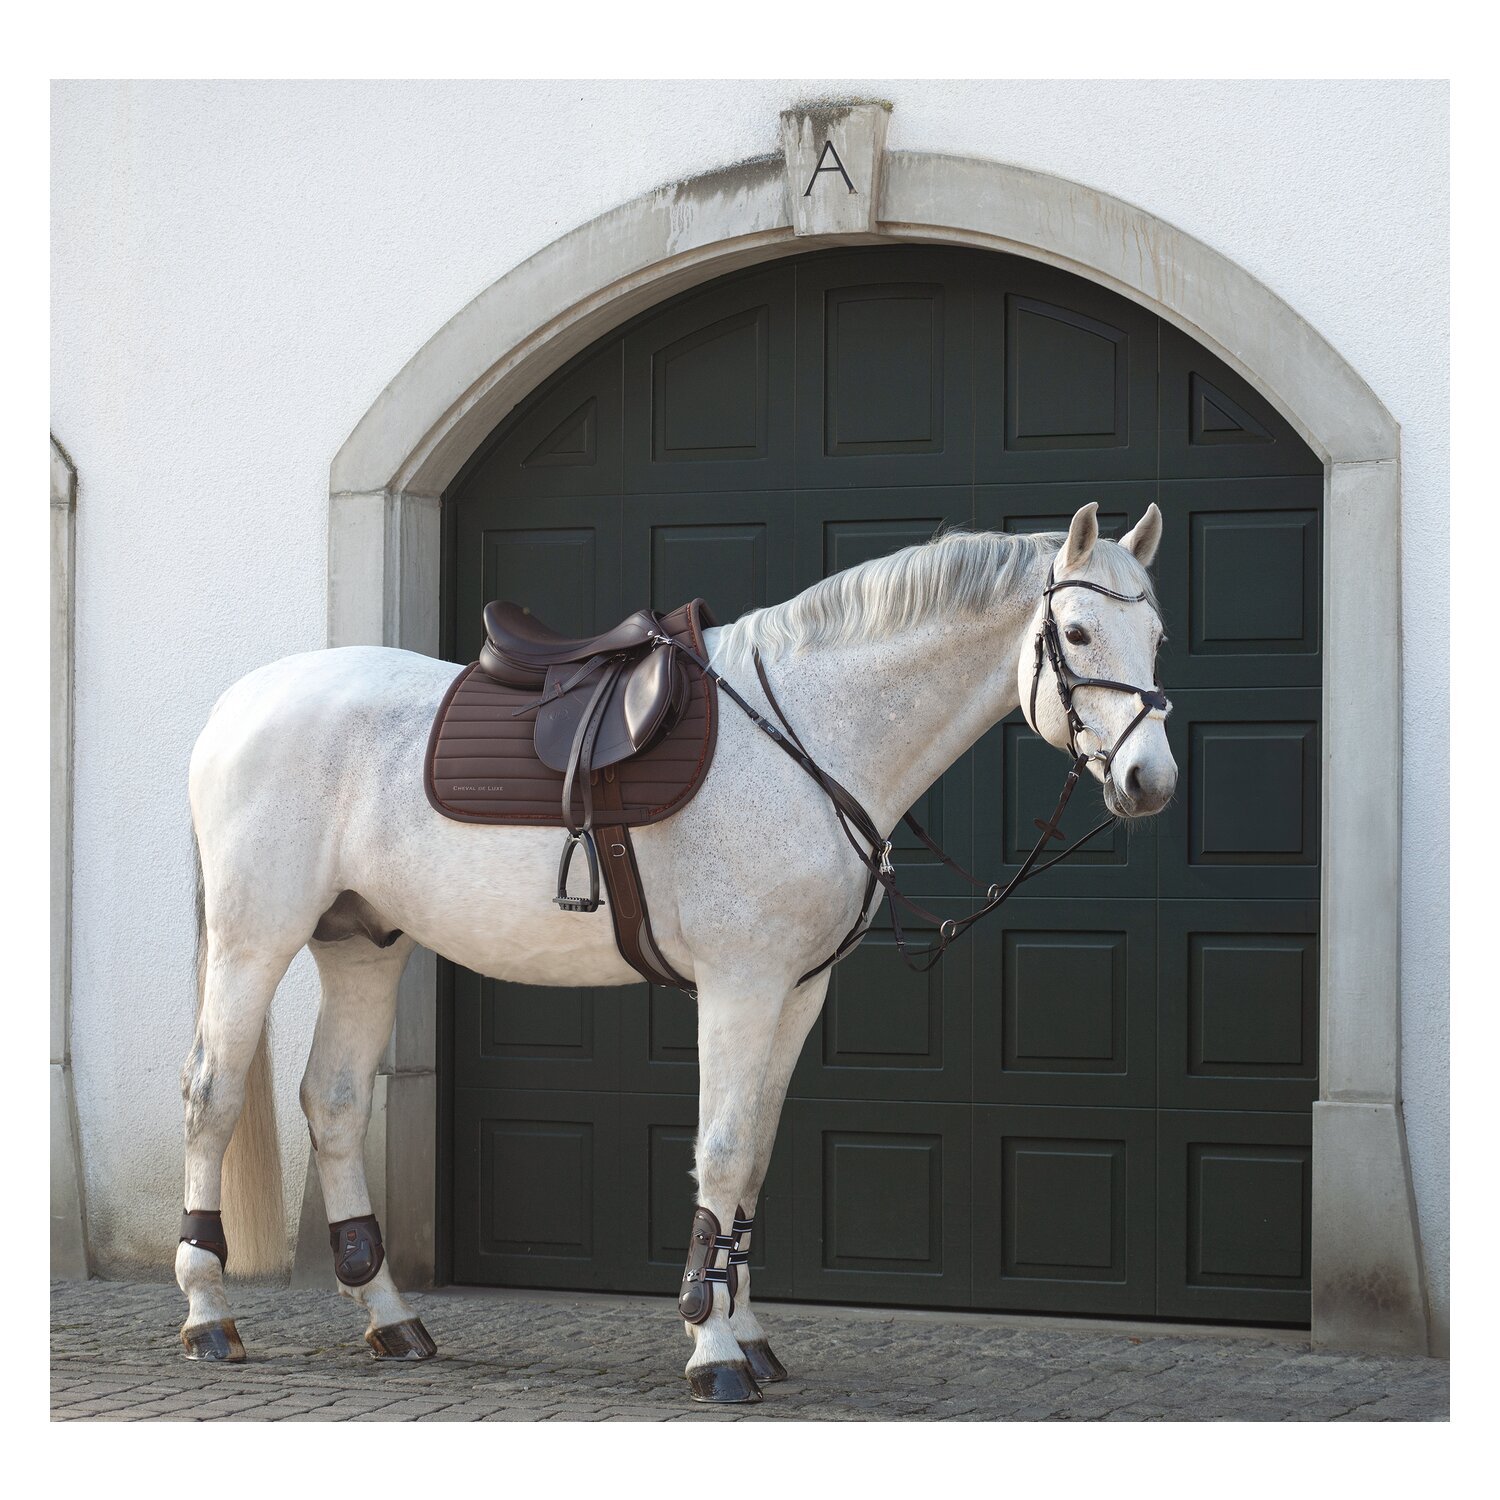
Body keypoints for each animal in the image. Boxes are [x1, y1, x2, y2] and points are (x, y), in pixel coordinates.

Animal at [175, 500, 1175, 1404]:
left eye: (1159, 634)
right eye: (1077, 632)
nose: (1149, 781)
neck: (810, 735)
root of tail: (237, 705)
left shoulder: (797, 993)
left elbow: (756, 1160)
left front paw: (749, 1334)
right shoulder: (740, 984)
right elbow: (722, 1152)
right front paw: (714, 1349)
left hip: (364, 945)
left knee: (335, 1103)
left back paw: (391, 1319)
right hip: (257, 939)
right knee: (212, 1098)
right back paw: (209, 1315)